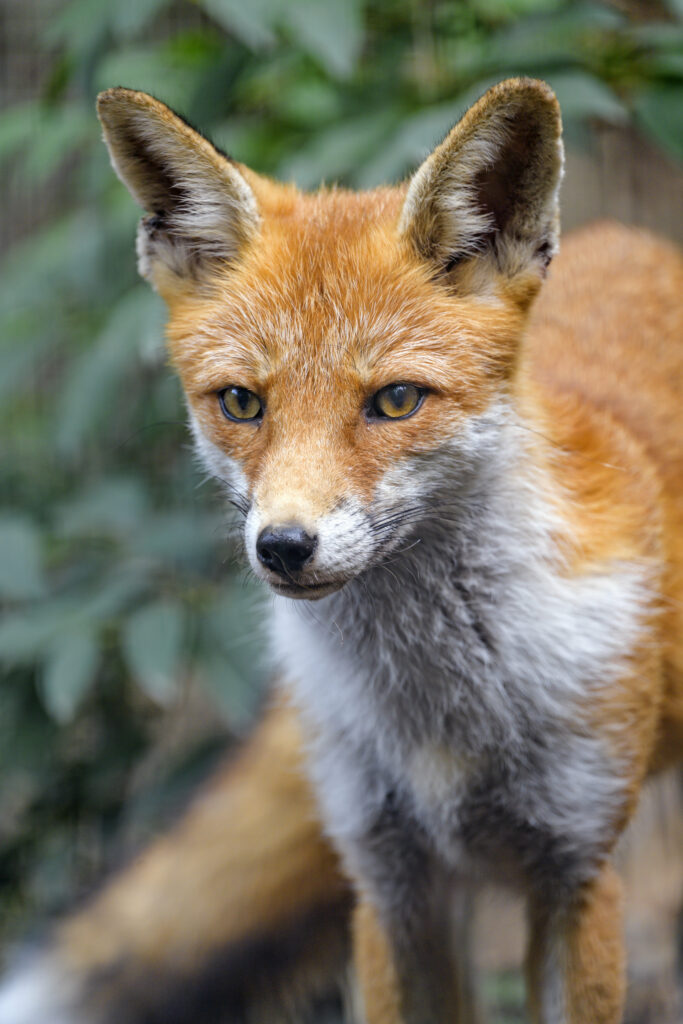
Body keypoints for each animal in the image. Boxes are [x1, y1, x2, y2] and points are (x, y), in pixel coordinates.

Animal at [0, 77, 682, 1024]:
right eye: (241, 403)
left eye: (395, 401)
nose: (283, 546)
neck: (439, 711)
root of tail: (633, 239)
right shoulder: (389, 882)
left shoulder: (577, 875)